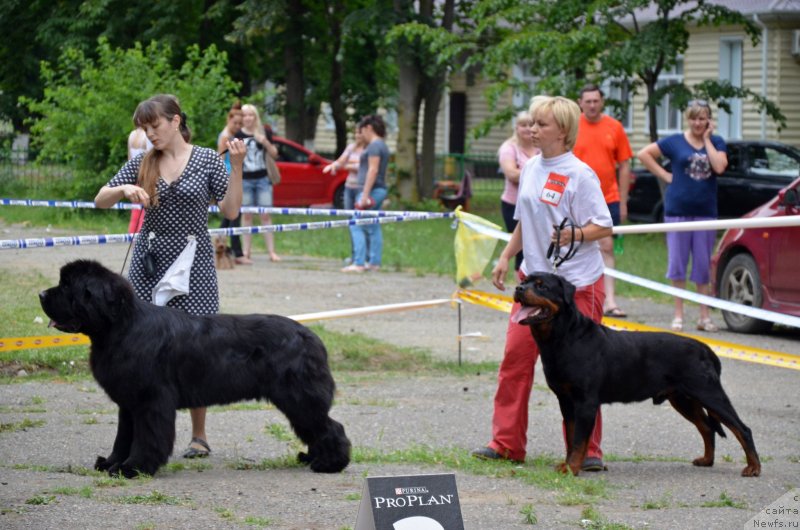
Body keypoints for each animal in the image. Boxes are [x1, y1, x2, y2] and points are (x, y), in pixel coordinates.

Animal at [38, 258, 350, 476]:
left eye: (67, 286)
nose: (41, 294)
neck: (121, 328)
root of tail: (311, 337)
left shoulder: (151, 401)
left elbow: (147, 437)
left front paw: (134, 468)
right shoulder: (129, 403)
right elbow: (123, 436)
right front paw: (111, 463)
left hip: (298, 396)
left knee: (330, 426)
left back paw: (330, 464)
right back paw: (312, 457)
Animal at [516, 272, 760, 474]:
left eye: (541, 286)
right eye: (525, 280)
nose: (518, 288)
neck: (563, 337)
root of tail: (706, 349)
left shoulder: (585, 402)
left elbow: (578, 440)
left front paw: (571, 468)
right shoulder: (566, 400)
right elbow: (571, 434)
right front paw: (567, 464)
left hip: (709, 393)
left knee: (742, 428)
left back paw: (753, 467)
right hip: (683, 399)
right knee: (707, 428)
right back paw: (707, 460)